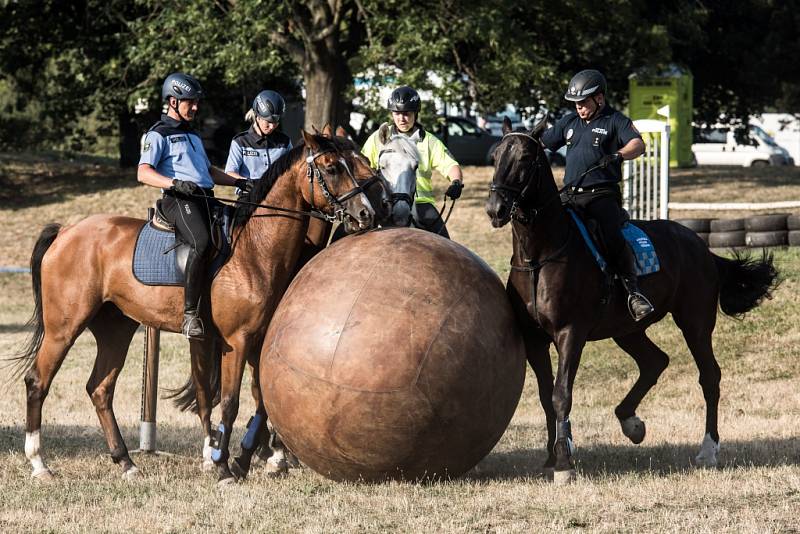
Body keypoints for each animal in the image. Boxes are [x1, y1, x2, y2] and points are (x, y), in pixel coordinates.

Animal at [16, 131, 378, 486]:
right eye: (333, 168)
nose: (366, 214)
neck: (255, 249)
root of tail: (66, 231)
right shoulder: (236, 341)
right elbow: (230, 402)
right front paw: (224, 467)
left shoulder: (257, 342)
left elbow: (260, 401)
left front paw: (245, 458)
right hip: (64, 328)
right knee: (38, 381)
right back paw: (39, 464)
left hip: (116, 329)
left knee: (100, 389)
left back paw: (126, 463)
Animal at [484, 120, 780, 486]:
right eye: (495, 156)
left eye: (525, 158)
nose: (495, 209)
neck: (541, 255)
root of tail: (701, 246)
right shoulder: (535, 340)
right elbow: (545, 397)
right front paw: (553, 457)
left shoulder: (570, 334)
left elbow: (561, 394)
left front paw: (565, 463)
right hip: (627, 330)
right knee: (655, 362)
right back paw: (631, 422)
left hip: (695, 322)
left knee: (709, 376)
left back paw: (708, 449)